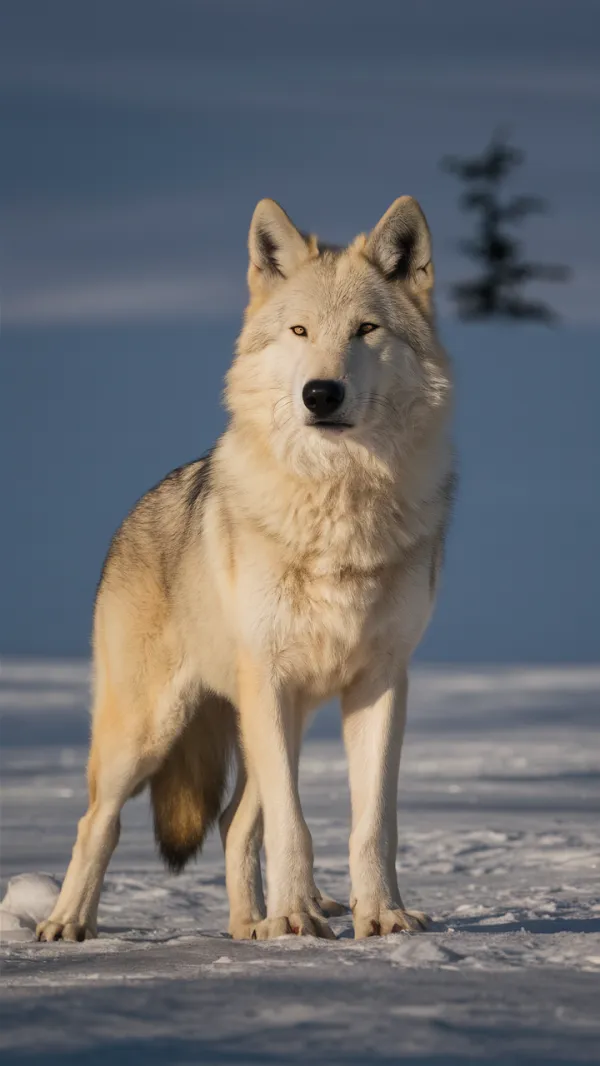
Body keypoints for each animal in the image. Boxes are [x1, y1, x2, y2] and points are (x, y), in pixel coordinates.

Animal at [37, 195, 454, 943]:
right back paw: (68, 925)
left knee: (234, 821)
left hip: (280, 720)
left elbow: (371, 825)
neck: (337, 502)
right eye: (299, 330)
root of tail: (135, 512)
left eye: (366, 330)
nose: (321, 393)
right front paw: (295, 921)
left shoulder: (381, 684)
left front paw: (378, 918)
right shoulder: (271, 678)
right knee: (98, 822)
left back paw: (247, 927)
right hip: (152, 731)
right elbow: (295, 826)